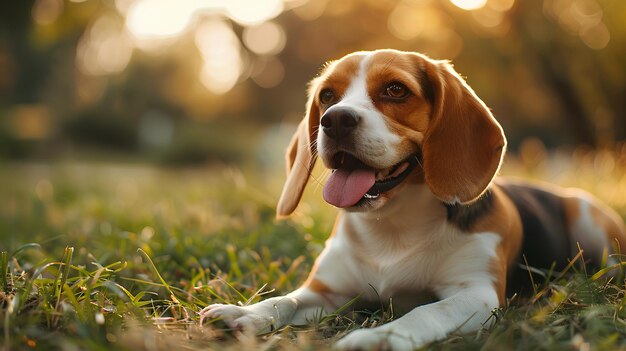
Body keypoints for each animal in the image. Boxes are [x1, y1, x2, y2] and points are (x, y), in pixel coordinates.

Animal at [201, 50, 624, 351]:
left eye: (395, 90)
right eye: (326, 95)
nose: (334, 120)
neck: (392, 224)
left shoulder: (476, 295)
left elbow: (424, 312)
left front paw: (378, 338)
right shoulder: (327, 291)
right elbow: (283, 301)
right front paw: (241, 313)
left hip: (588, 217)